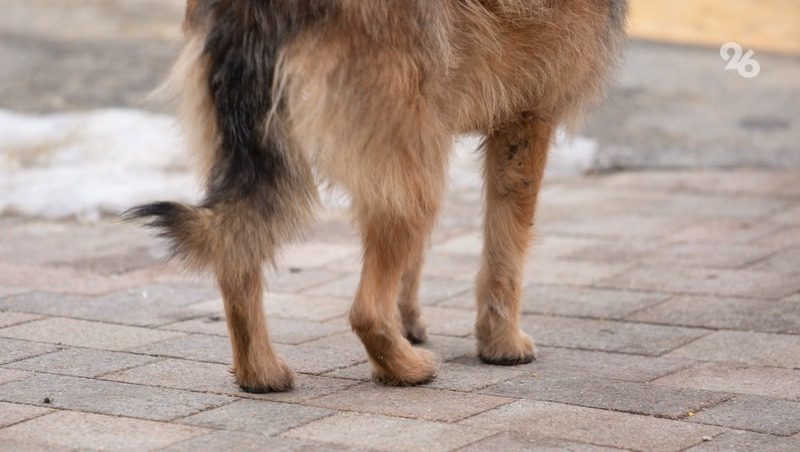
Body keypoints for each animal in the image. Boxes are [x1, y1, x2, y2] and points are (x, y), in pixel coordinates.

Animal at [125, 0, 628, 392]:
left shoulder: (433, 134)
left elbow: (419, 260)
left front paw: (413, 322)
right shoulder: (526, 119)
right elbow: (506, 250)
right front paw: (501, 343)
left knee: (236, 253)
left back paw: (261, 374)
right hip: (406, 155)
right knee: (364, 309)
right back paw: (405, 370)